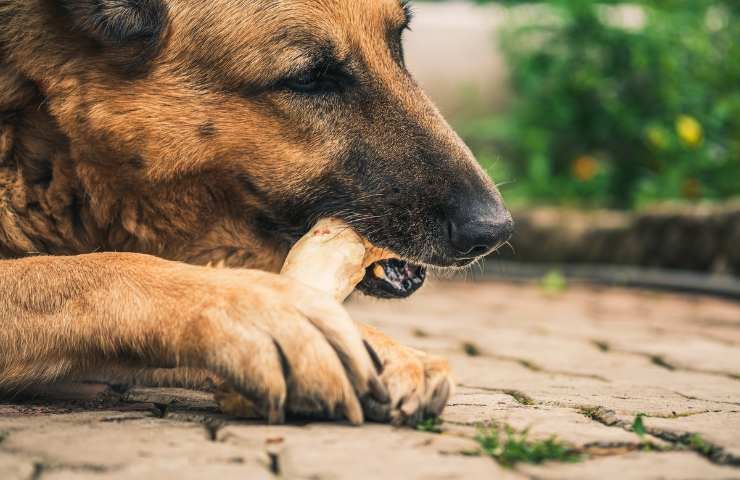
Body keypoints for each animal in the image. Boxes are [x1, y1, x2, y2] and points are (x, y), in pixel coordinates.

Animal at [0, 0, 508, 428]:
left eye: (398, 42)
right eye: (308, 78)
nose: (496, 230)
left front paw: (375, 347)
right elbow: (100, 269)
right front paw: (266, 313)